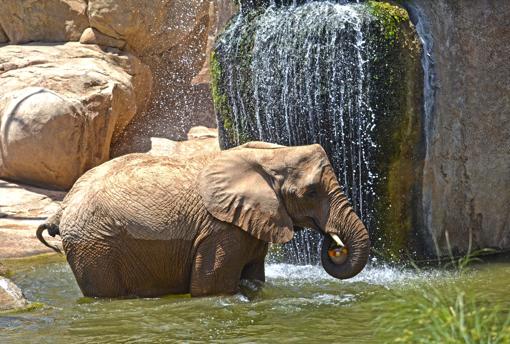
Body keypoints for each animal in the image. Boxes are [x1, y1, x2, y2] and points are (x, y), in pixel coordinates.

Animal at [36, 141, 370, 296]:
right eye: (311, 192)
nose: (334, 246)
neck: (269, 155)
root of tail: (63, 207)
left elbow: (254, 278)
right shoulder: (220, 230)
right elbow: (211, 288)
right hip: (95, 246)